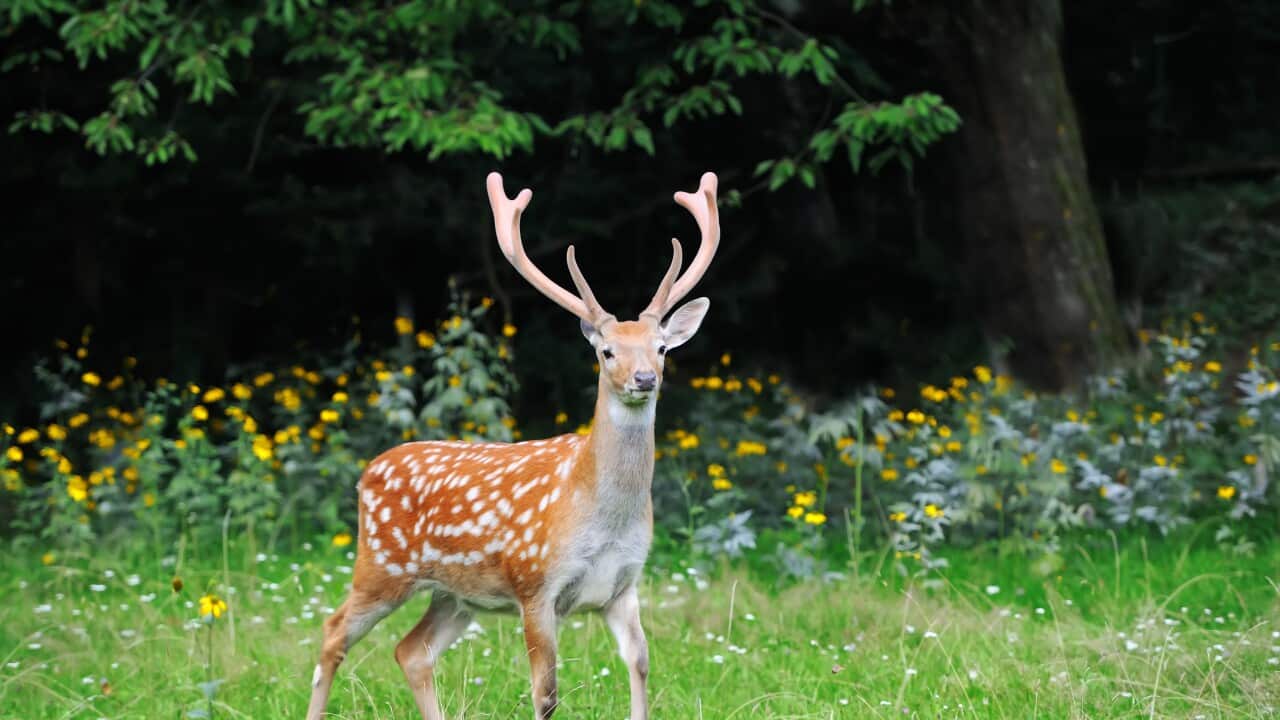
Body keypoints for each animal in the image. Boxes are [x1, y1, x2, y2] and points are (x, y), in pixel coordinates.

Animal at [305, 170, 720, 720]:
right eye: (607, 351)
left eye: (663, 347)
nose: (645, 378)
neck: (601, 516)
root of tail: (367, 472)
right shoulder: (535, 583)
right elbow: (546, 692)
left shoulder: (623, 586)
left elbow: (641, 665)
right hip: (381, 565)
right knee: (333, 632)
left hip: (455, 595)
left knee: (411, 650)